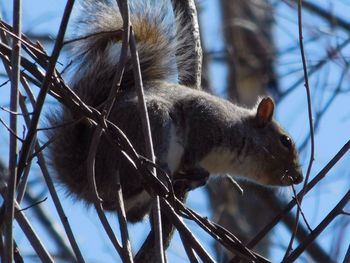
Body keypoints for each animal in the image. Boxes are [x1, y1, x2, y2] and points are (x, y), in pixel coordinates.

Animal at [47, 0, 302, 255]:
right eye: (285, 140)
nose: (299, 178)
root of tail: (85, 177)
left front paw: (197, 178)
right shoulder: (206, 119)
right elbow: (194, 149)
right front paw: (194, 171)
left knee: (127, 212)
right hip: (151, 125)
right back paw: (160, 177)